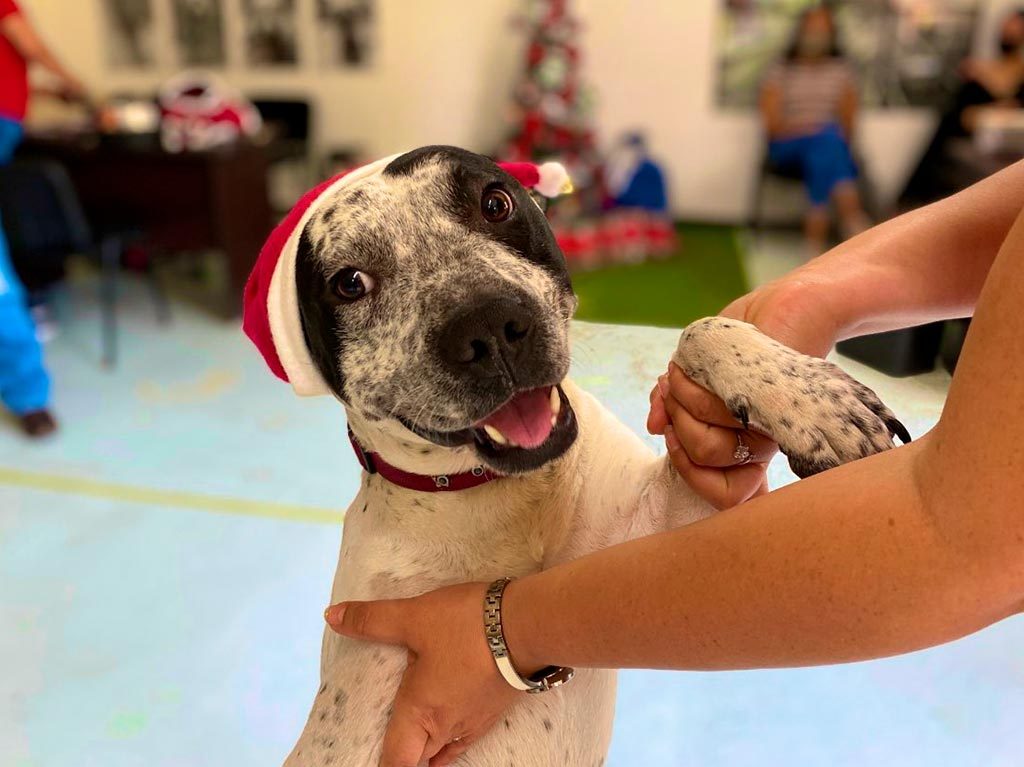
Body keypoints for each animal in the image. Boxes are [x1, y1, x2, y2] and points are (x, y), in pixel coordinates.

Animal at [243, 146, 909, 761]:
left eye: (495, 203)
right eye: (349, 282)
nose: (489, 326)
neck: (497, 493)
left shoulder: (665, 527)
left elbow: (699, 328)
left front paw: (809, 398)